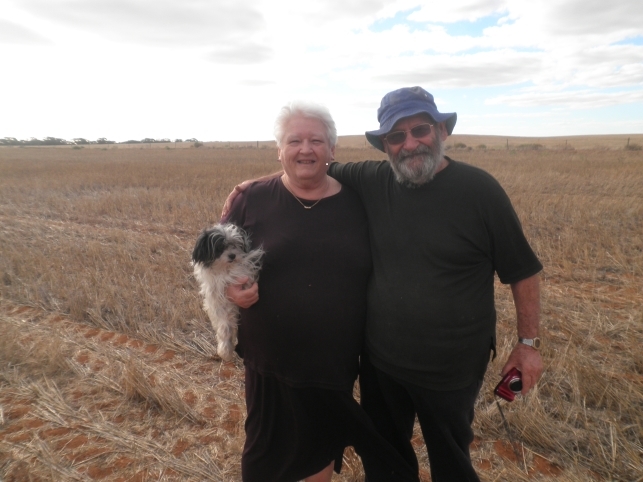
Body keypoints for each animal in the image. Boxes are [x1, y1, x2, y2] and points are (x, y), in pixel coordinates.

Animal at [191, 224, 264, 360]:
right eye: (220, 247)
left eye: (235, 245)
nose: (232, 255)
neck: (225, 270)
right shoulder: (217, 302)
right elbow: (224, 326)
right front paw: (225, 348)